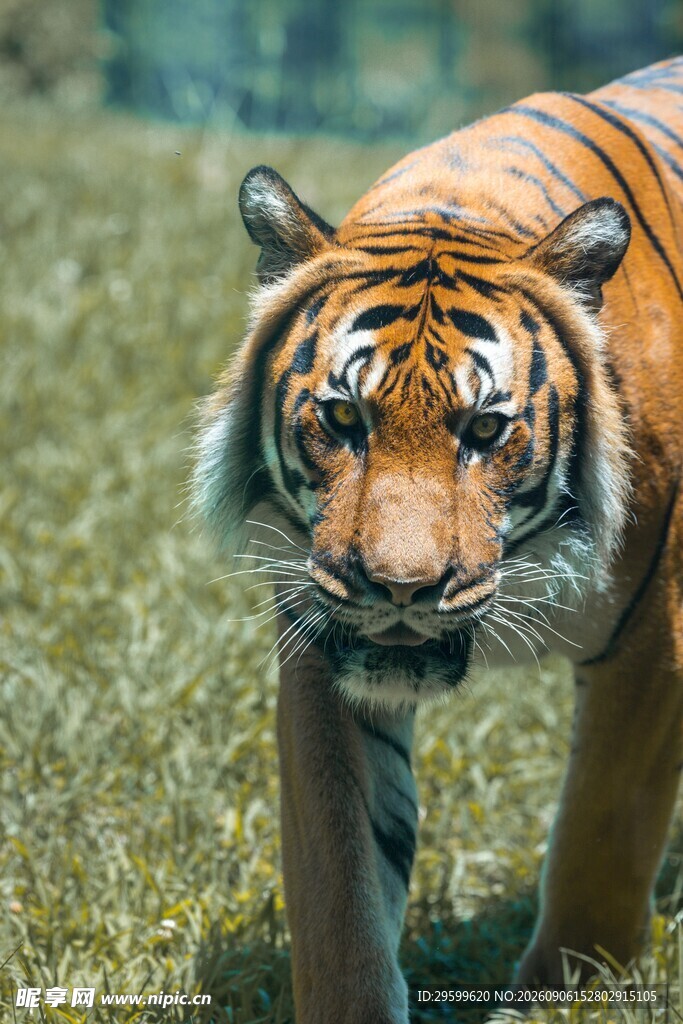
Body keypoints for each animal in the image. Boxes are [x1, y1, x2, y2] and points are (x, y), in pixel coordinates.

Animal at [193, 57, 683, 1023]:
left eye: (485, 430)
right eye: (343, 419)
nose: (401, 588)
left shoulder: (654, 634)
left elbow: (598, 848)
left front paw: (563, 999)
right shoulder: (323, 647)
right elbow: (340, 886)